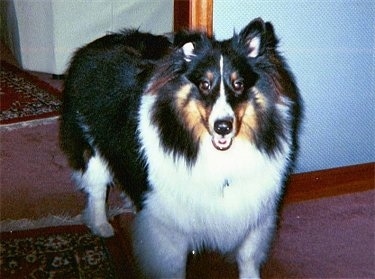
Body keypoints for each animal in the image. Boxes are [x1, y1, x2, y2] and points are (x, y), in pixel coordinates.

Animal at [61, 18, 302, 278]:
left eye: (238, 84)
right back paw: (102, 226)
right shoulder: (170, 226)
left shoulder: (255, 210)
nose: (223, 127)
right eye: (205, 84)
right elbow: (173, 266)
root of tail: (91, 46)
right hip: (92, 147)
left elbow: (248, 256)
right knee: (96, 189)